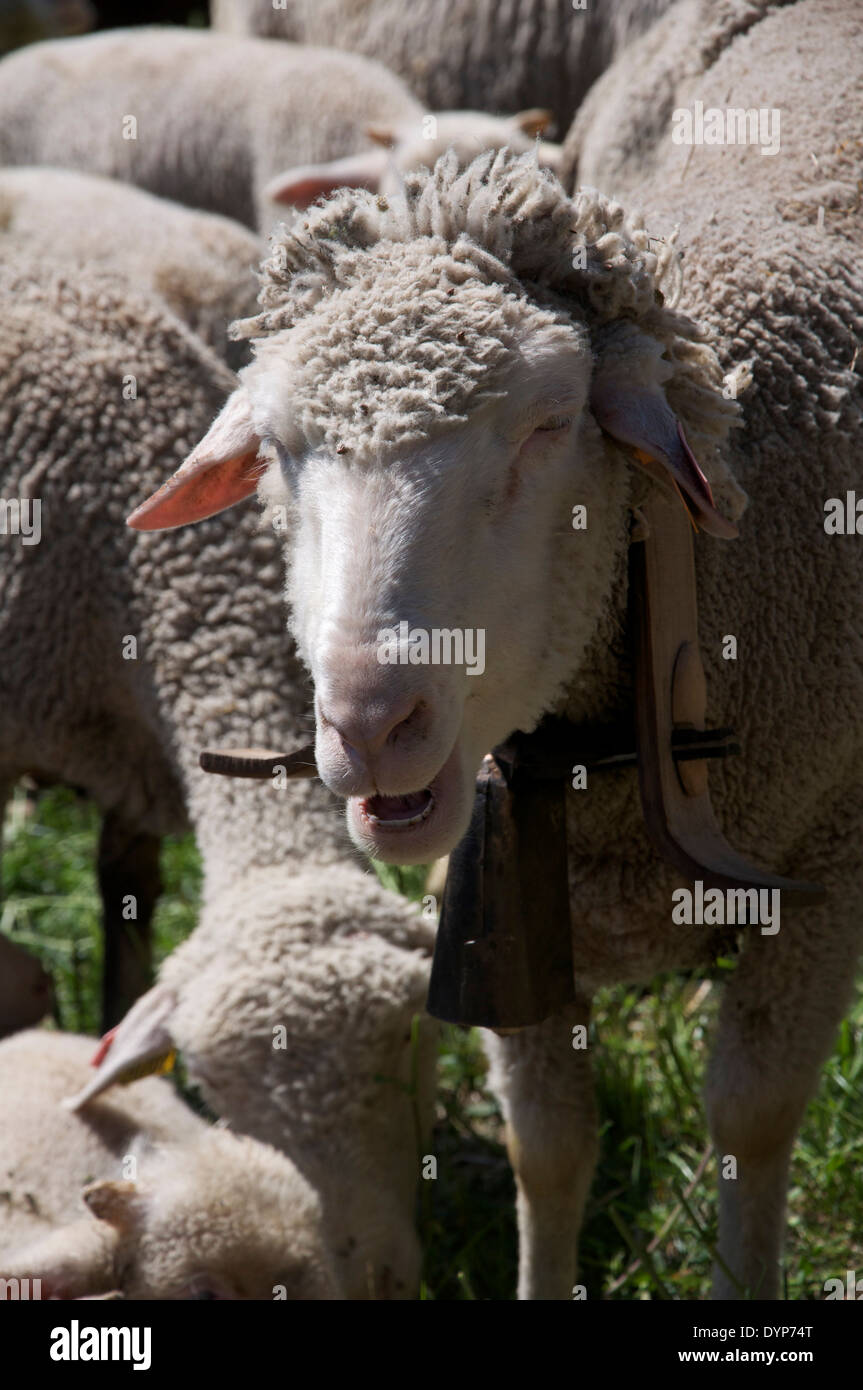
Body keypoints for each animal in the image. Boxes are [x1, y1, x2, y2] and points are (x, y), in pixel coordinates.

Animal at [130, 122, 862, 1302]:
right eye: (276, 451)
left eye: (548, 426)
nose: (368, 727)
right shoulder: (508, 906)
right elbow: (546, 1146)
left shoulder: (827, 874)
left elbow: (751, 1123)